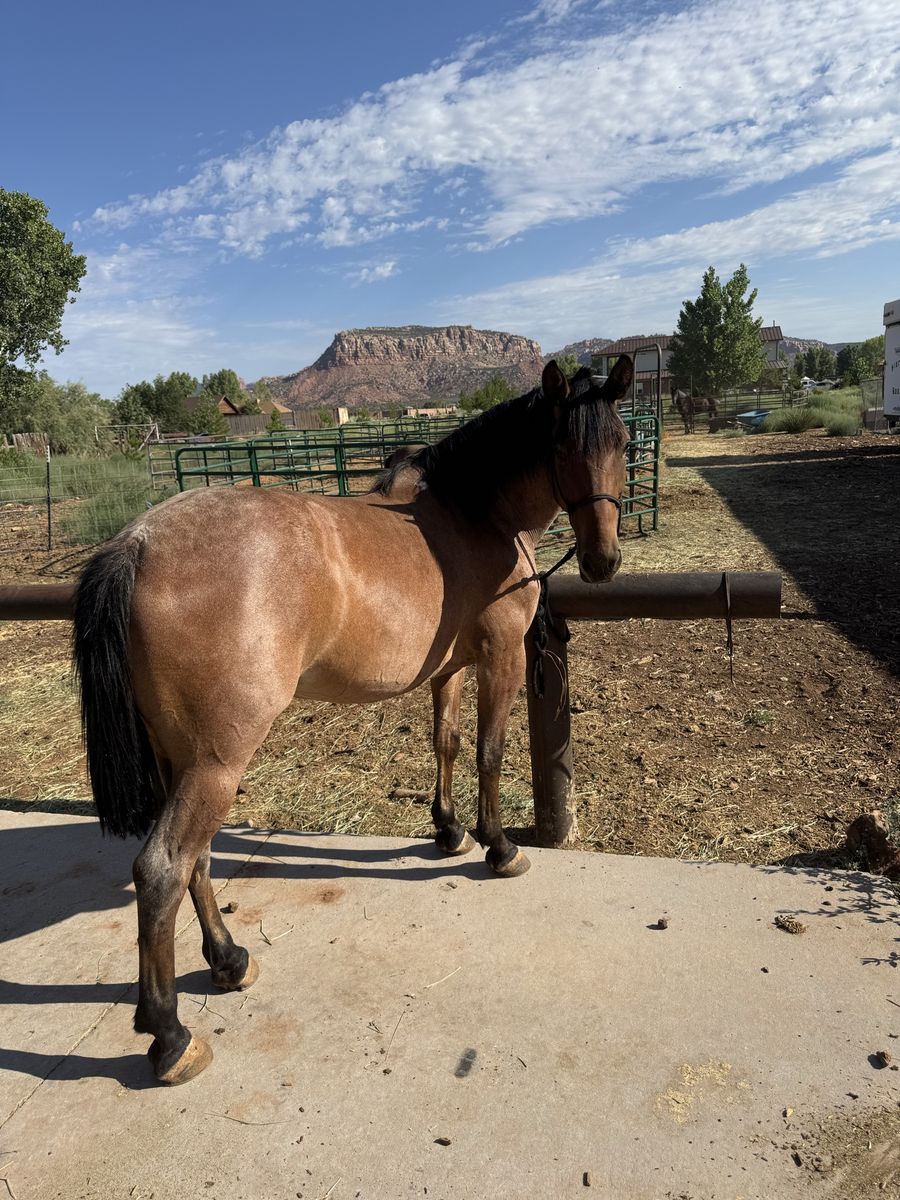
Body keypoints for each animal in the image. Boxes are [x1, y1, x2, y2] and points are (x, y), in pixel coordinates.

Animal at [72, 354, 634, 1086]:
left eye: (622, 442)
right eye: (563, 447)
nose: (602, 560)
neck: (474, 513)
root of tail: (138, 542)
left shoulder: (449, 668)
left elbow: (446, 743)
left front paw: (449, 830)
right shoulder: (502, 657)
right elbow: (489, 751)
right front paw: (498, 846)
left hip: (183, 759)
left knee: (195, 860)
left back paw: (228, 960)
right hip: (217, 761)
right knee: (163, 868)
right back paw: (169, 1036)